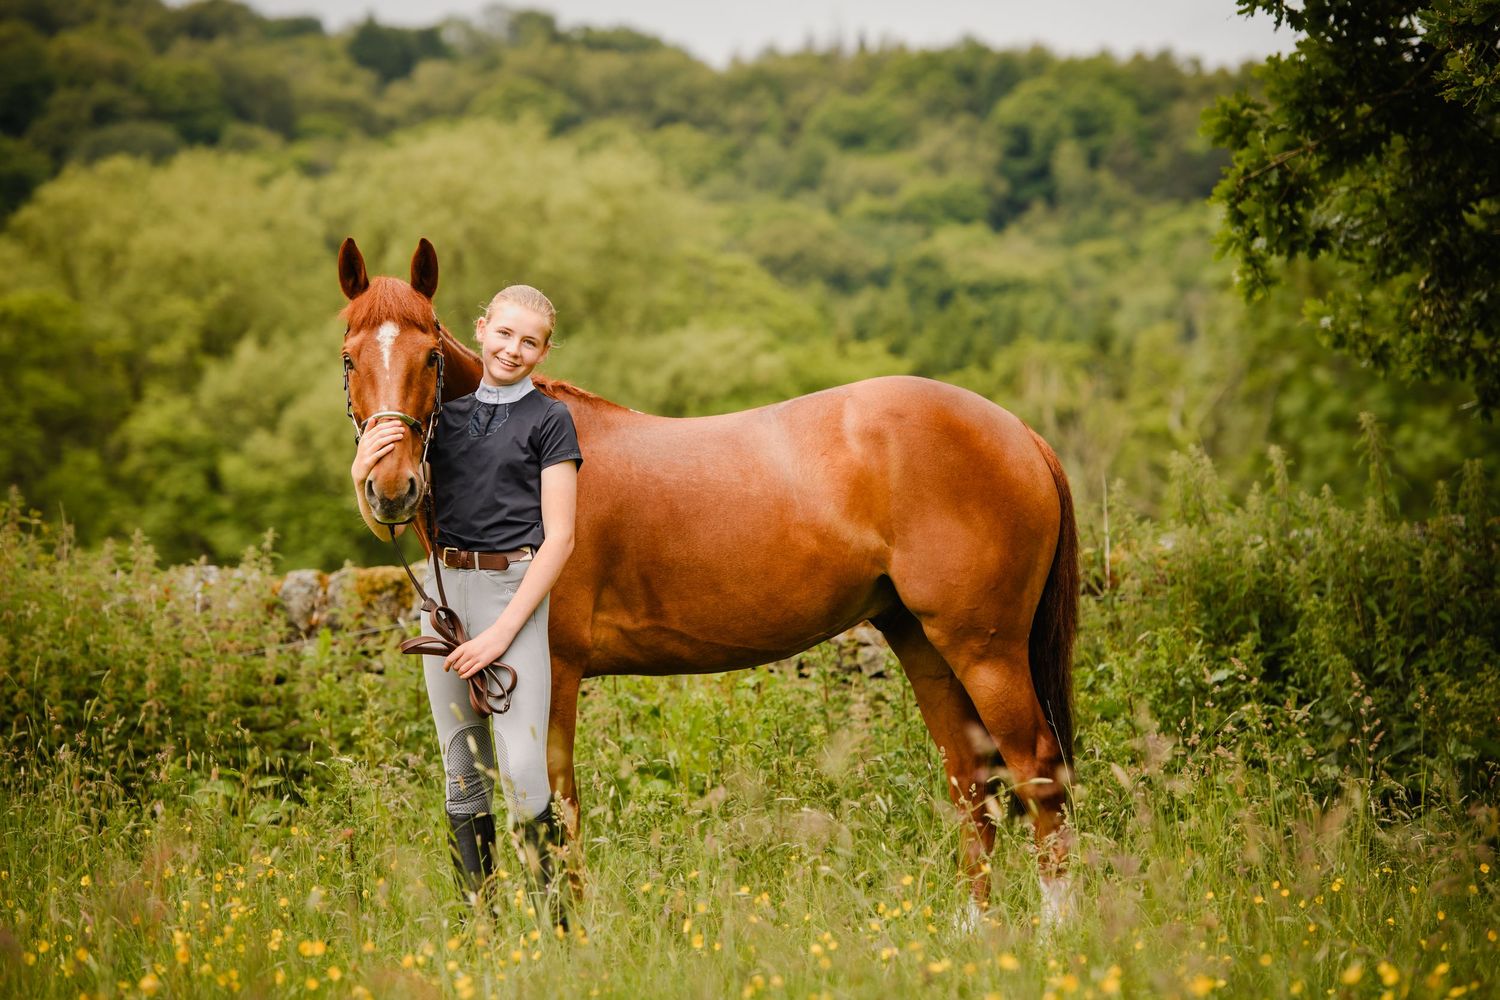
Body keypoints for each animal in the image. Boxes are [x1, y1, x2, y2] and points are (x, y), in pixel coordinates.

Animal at [337, 237, 1079, 915]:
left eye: (430, 355)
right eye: (349, 357)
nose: (391, 487)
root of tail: (1021, 434)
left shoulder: (553, 674)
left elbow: (559, 809)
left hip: (985, 650)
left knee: (1037, 772)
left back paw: (1051, 931)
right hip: (924, 642)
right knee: (973, 780)